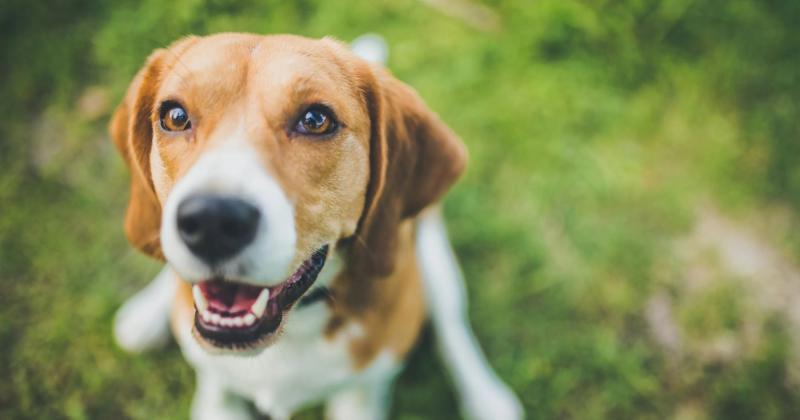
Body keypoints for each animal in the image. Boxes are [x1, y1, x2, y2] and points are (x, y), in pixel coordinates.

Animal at [111, 33, 524, 420]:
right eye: (175, 116)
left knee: (454, 325)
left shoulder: (362, 394)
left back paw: (487, 397)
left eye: (315, 120)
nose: (212, 221)